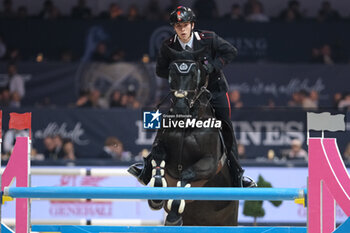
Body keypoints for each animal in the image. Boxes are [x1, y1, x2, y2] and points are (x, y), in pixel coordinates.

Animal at [131, 46, 238, 226]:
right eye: (171, 72)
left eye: (195, 74)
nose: (181, 108)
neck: (187, 123)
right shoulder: (160, 146)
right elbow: (158, 158)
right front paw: (157, 195)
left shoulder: (209, 163)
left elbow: (186, 174)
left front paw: (173, 215)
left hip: (228, 220)